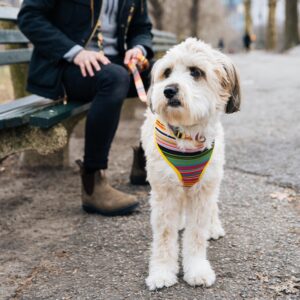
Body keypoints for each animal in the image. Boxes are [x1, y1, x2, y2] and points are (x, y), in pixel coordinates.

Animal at [141, 38, 241, 290]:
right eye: (167, 72)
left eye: (196, 72)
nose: (168, 90)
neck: (186, 134)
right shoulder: (164, 192)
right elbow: (164, 236)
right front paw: (162, 272)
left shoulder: (202, 191)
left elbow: (196, 235)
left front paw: (197, 269)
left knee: (212, 207)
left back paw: (213, 227)